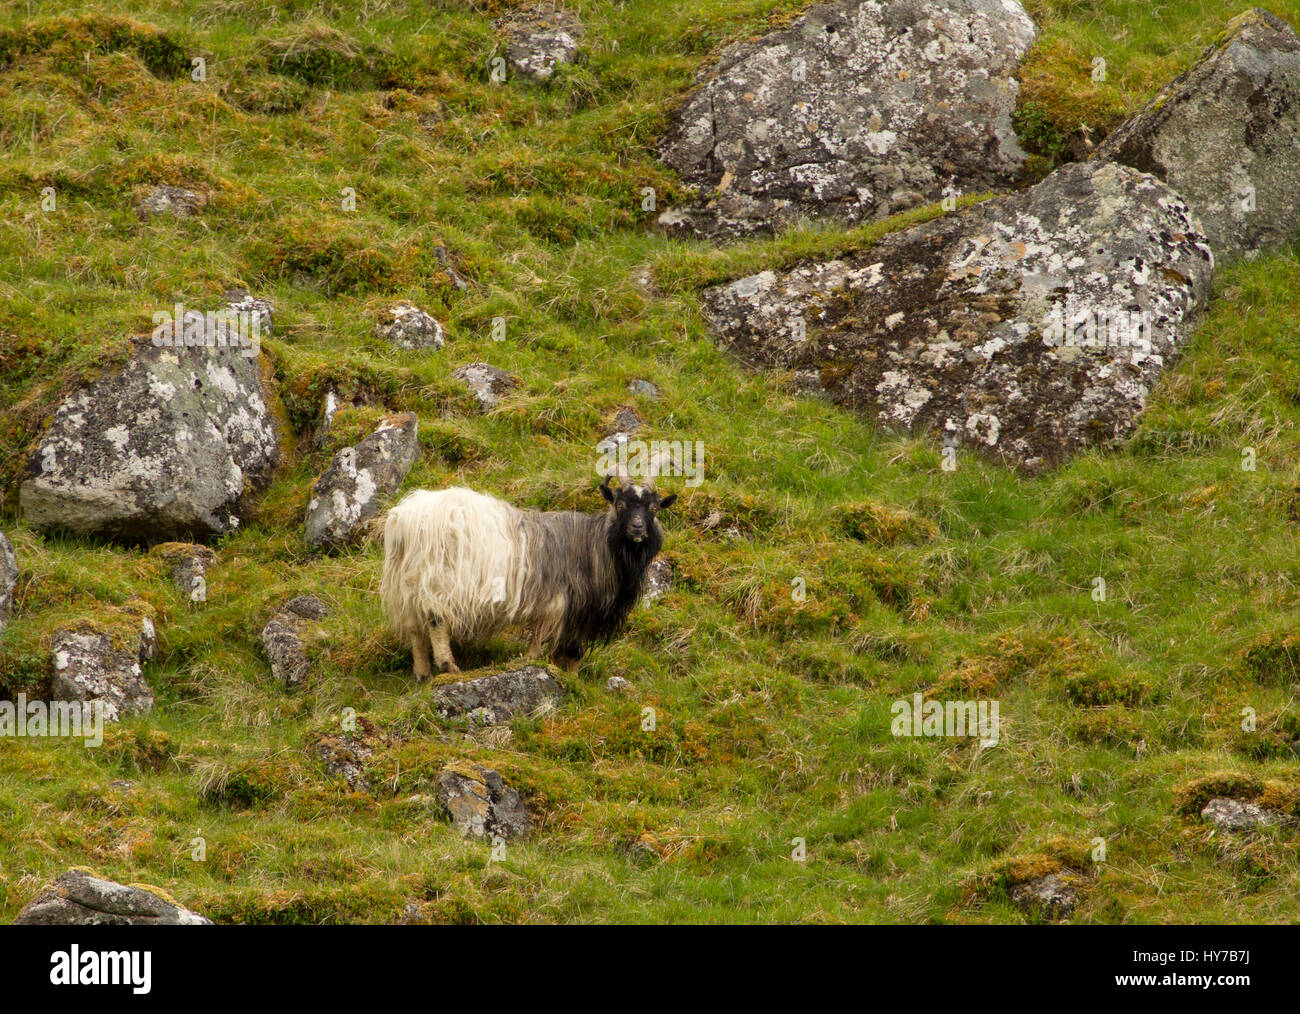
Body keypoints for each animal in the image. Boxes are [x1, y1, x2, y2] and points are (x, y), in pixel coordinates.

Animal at [379, 470, 676, 676]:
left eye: (654, 508)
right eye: (620, 505)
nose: (637, 528)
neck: (595, 544)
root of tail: (404, 520)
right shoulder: (566, 606)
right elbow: (563, 650)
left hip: (407, 582)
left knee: (415, 628)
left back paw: (422, 673)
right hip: (439, 579)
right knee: (436, 619)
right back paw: (448, 666)